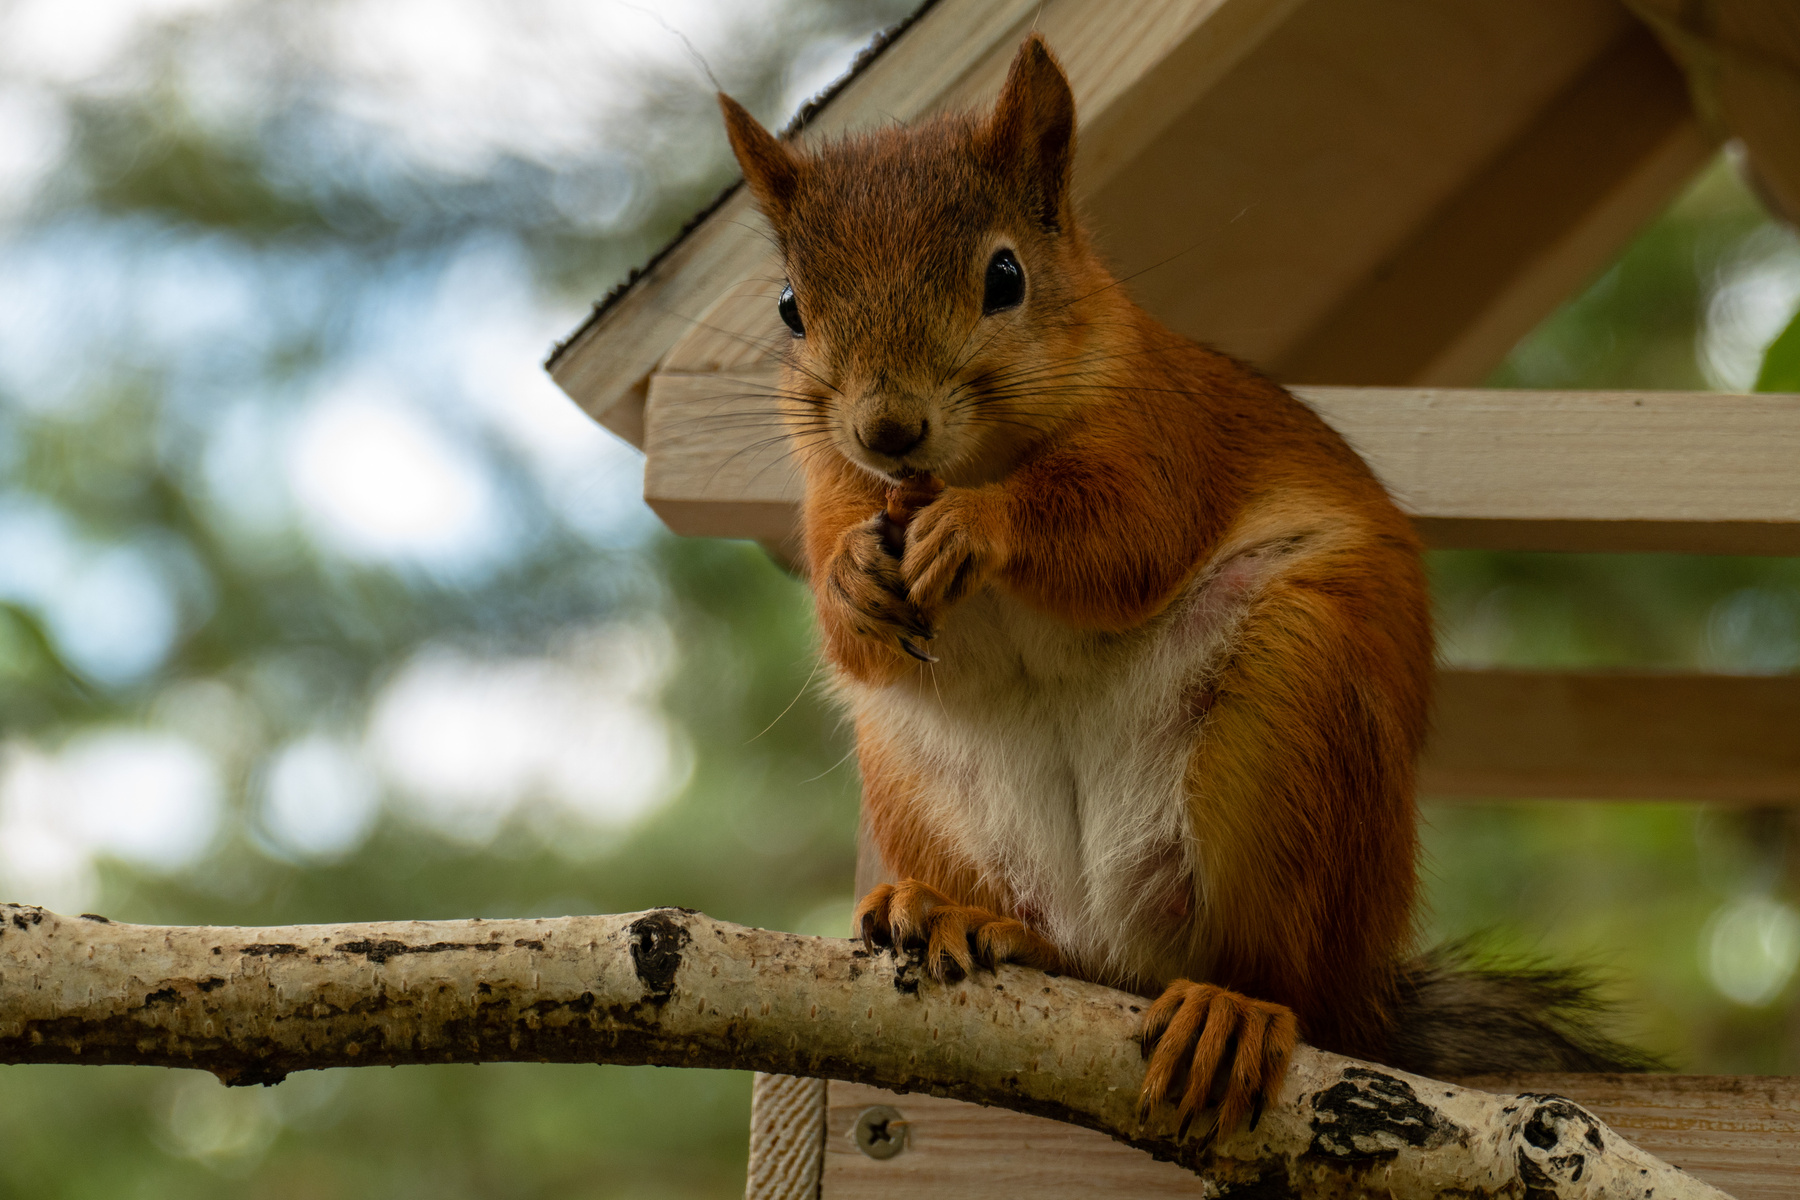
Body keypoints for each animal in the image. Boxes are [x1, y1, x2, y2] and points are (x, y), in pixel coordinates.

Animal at [719, 33, 1650, 1139]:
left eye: (1005, 276)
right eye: (789, 307)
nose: (887, 429)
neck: (963, 465)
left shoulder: (1166, 436)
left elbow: (1122, 538)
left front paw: (982, 525)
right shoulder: (830, 488)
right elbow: (845, 628)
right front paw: (856, 576)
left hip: (1296, 720)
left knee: (1289, 984)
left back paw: (1232, 1010)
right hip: (917, 780)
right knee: (1064, 951)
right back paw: (954, 912)